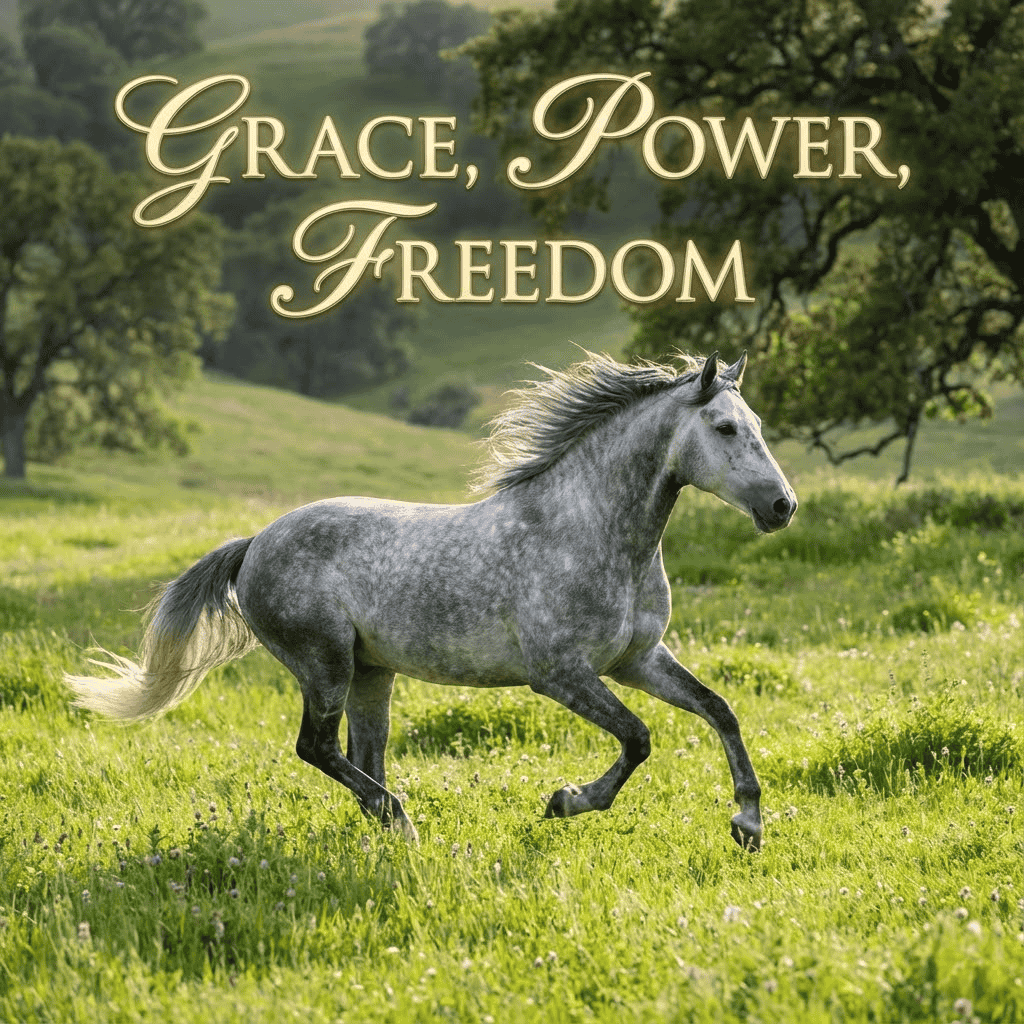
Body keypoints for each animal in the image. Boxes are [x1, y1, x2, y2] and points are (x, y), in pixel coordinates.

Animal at [67, 350, 796, 850]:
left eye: (757, 423)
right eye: (725, 428)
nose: (783, 507)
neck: (590, 531)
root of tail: (254, 545)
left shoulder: (638, 659)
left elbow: (720, 710)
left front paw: (748, 823)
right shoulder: (560, 674)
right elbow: (639, 738)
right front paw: (564, 800)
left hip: (372, 674)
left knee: (359, 757)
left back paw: (389, 829)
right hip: (325, 663)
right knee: (316, 748)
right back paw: (405, 824)